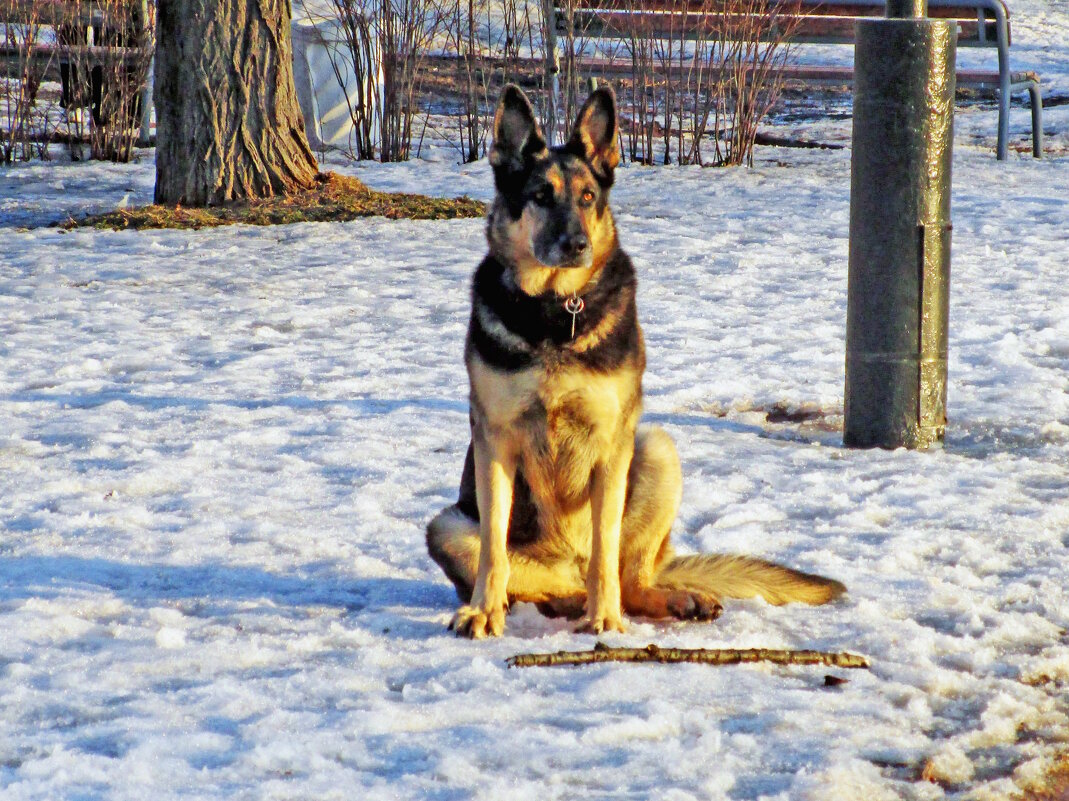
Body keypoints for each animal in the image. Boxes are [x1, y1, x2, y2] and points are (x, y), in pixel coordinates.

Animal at [425, 84, 842, 637]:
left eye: (587, 198)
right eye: (540, 196)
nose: (576, 245)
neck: (556, 311)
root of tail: (565, 564)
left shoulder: (610, 445)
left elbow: (606, 549)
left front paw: (605, 617)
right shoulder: (494, 440)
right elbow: (494, 549)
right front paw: (483, 612)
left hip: (656, 448)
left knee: (627, 576)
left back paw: (662, 601)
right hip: (447, 525)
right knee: (540, 585)